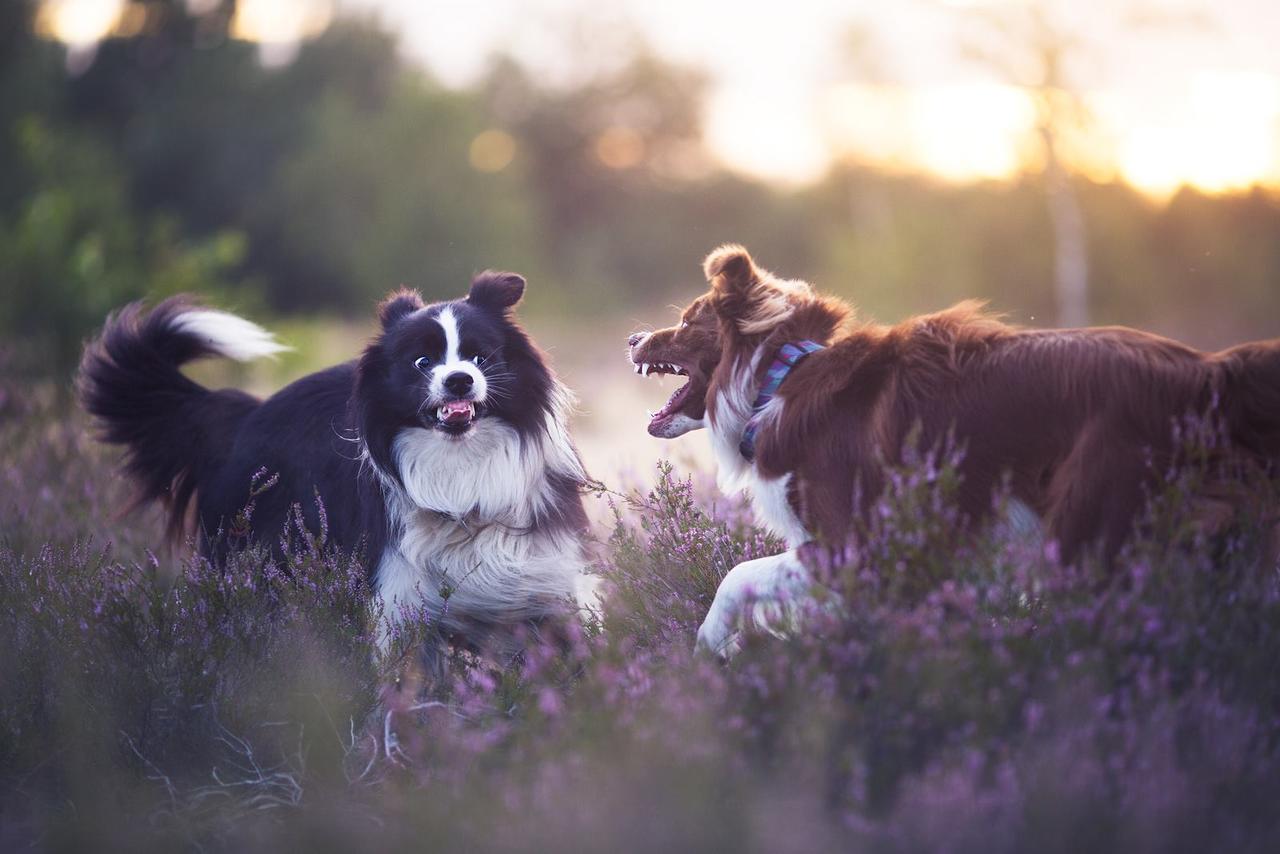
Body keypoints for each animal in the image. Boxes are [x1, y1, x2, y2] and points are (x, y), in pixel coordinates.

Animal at [82, 273, 591, 655]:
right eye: (422, 362)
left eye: (480, 356)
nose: (460, 381)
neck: (461, 468)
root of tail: (247, 417)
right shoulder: (398, 596)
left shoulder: (545, 578)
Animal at [629, 243, 1280, 660]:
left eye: (688, 322)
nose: (632, 337)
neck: (779, 379)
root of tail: (1206, 372)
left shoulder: (861, 545)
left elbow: (737, 575)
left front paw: (711, 645)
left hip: (1090, 523)